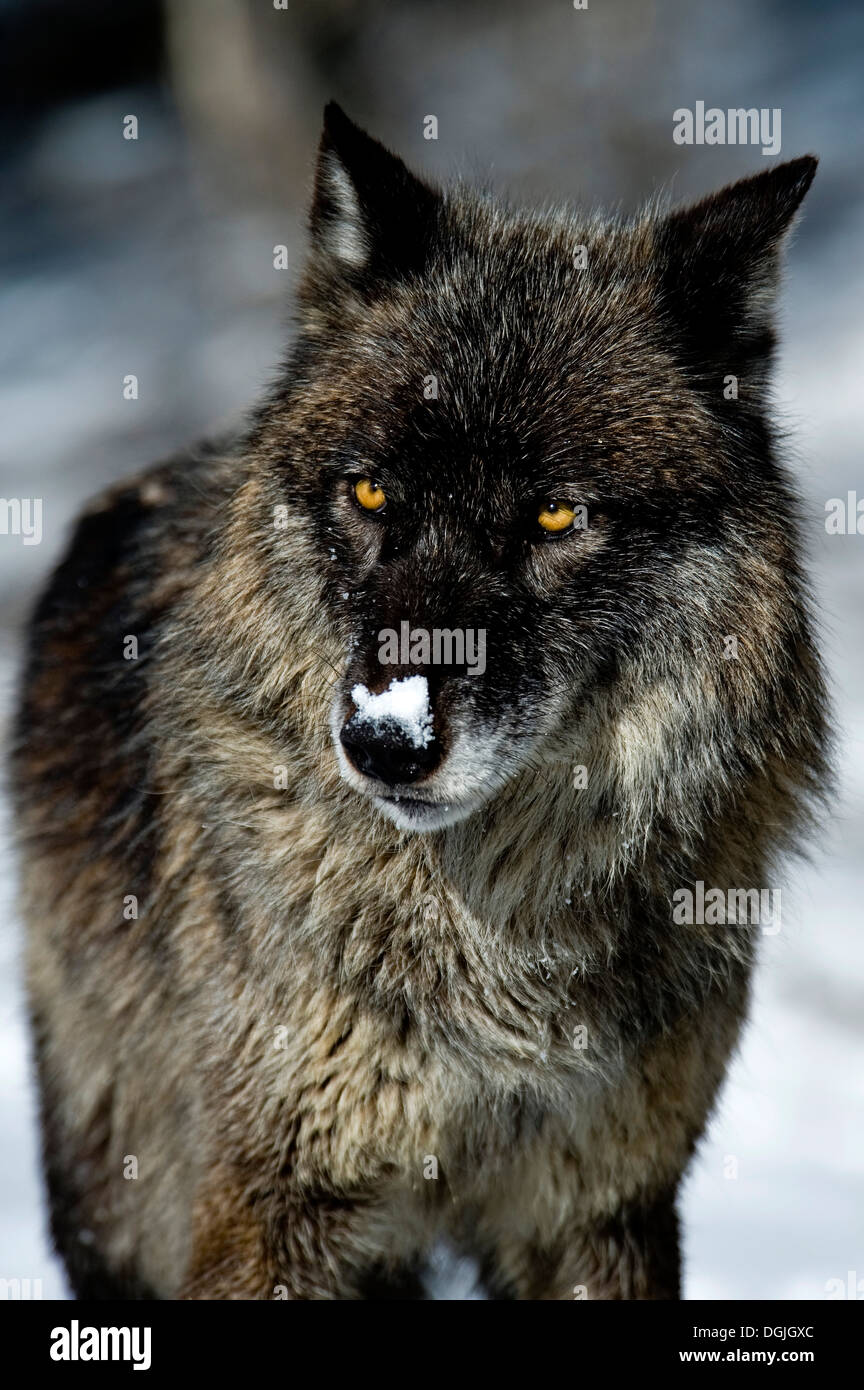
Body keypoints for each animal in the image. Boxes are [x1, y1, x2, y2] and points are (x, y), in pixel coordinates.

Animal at [10, 102, 827, 1295]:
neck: (492, 935)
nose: (386, 740)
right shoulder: (269, 1210)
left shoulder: (599, 1208)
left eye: (555, 516)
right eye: (370, 491)